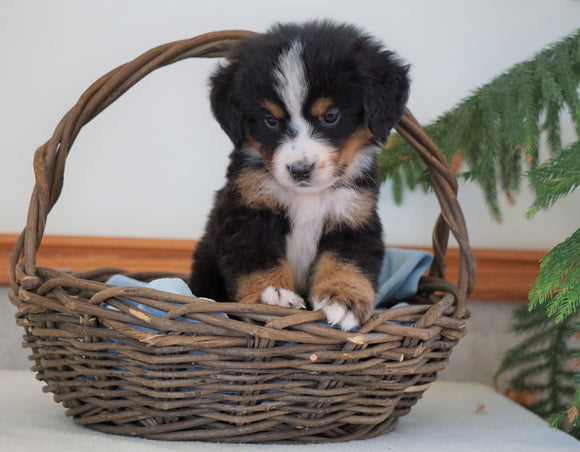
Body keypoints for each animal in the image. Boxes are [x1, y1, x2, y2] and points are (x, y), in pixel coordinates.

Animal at [188, 21, 410, 330]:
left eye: (330, 116)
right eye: (270, 120)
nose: (300, 170)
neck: (307, 198)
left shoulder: (354, 216)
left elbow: (348, 263)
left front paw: (344, 301)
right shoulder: (249, 211)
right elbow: (258, 262)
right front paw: (273, 297)